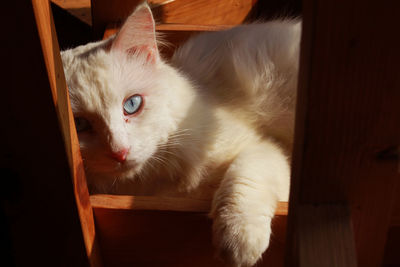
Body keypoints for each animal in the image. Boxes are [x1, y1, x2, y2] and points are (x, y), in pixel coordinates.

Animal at [61, 2, 300, 267]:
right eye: (79, 124)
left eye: (132, 104)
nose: (120, 152)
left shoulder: (264, 147)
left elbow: (244, 179)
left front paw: (237, 242)